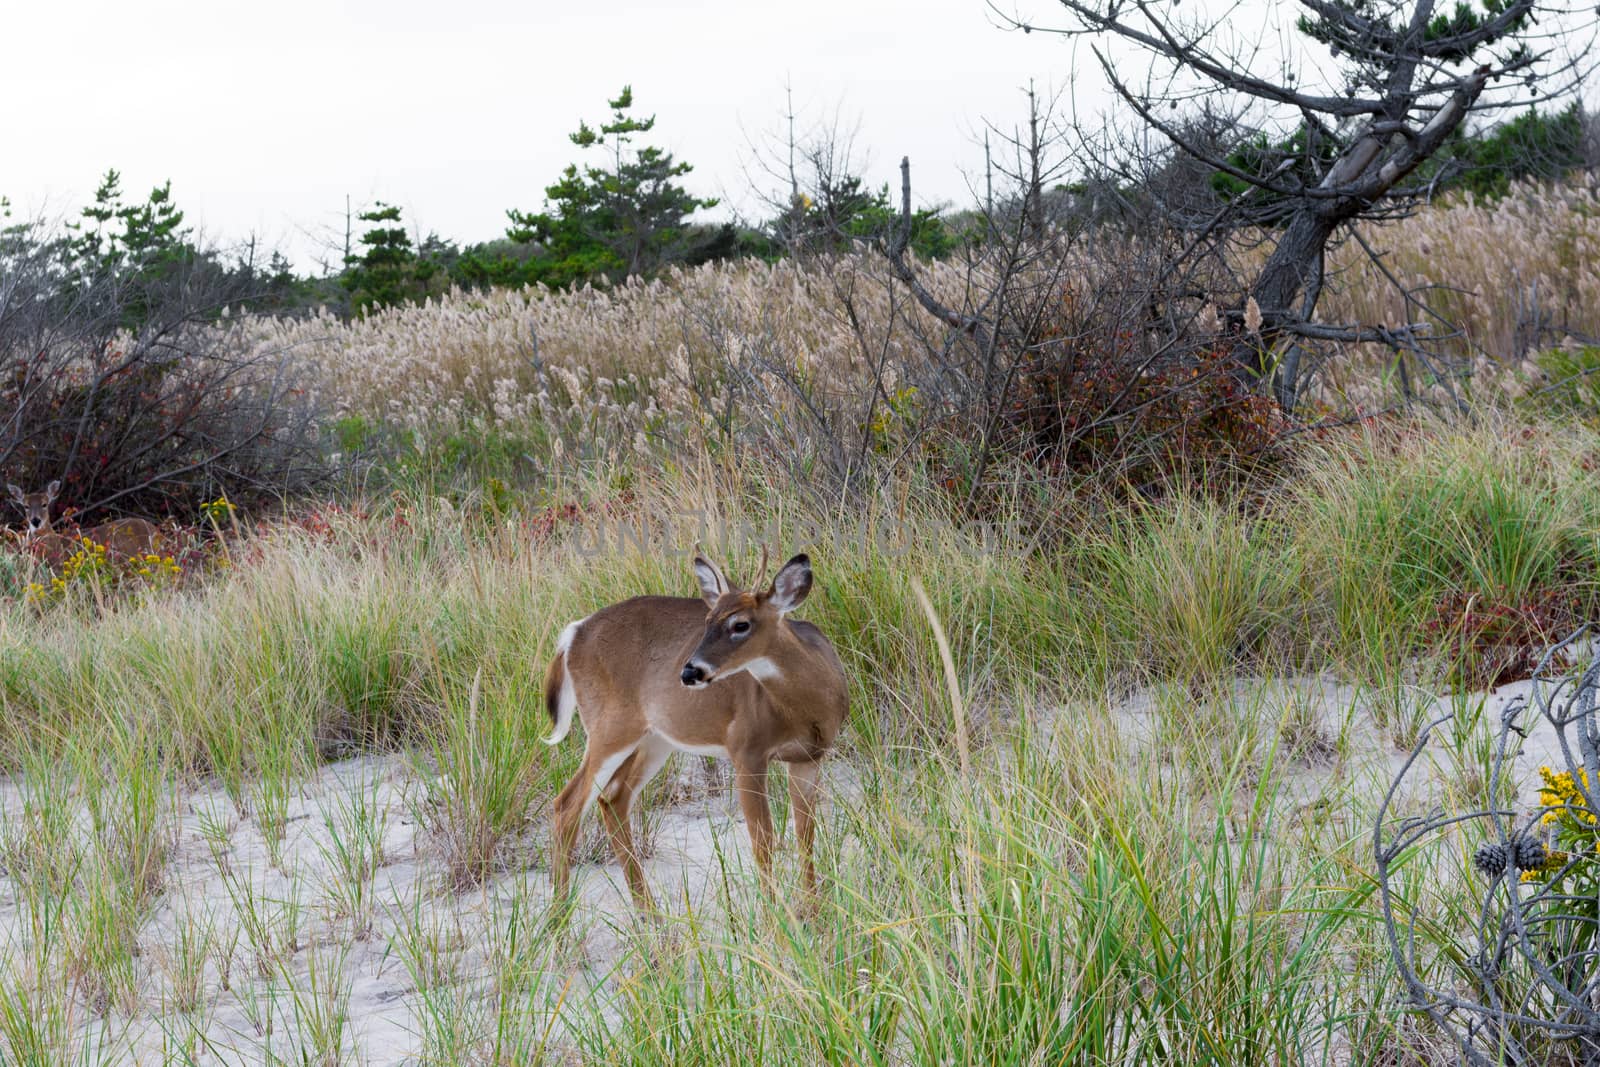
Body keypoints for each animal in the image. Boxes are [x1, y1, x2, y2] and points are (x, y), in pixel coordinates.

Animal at [544, 550, 851, 908]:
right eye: (707, 621)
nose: (689, 671)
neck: (807, 706)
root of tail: (573, 633)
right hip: (610, 726)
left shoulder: (809, 757)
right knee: (567, 805)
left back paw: (649, 912)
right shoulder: (745, 748)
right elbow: (763, 840)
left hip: (655, 739)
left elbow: (806, 834)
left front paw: (814, 911)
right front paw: (776, 916)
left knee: (613, 798)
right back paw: (559, 914)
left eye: (740, 624)